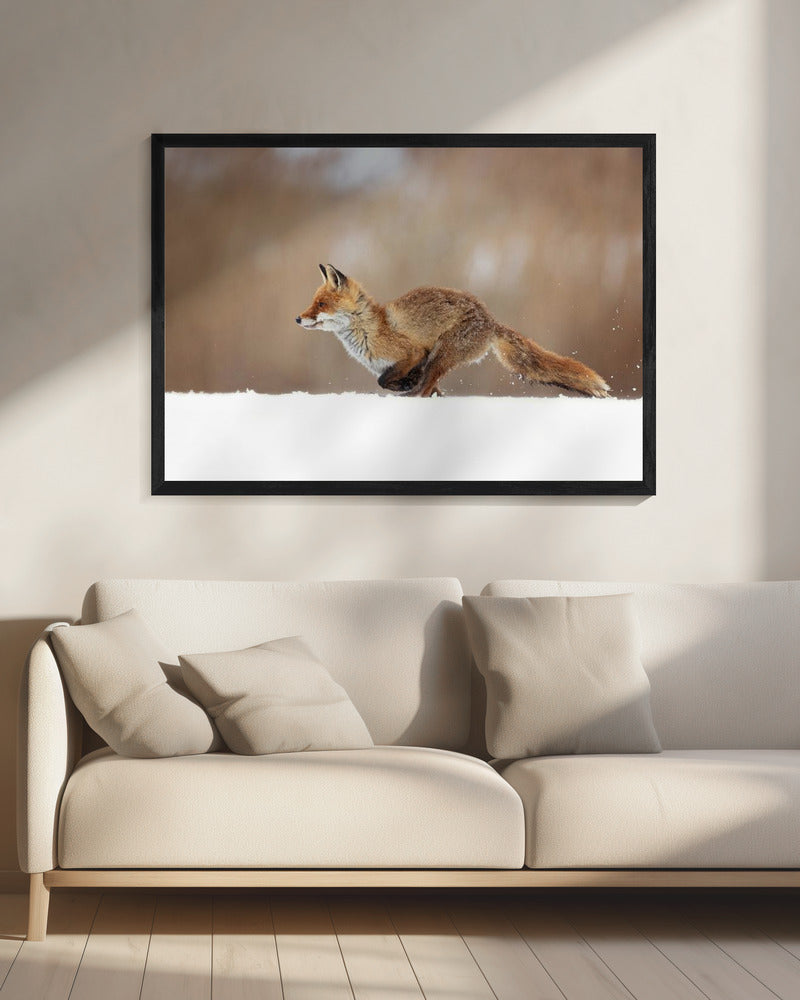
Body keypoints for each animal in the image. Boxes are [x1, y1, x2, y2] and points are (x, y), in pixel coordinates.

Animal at [296, 264, 609, 398]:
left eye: (321, 304)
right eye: (313, 302)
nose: (298, 319)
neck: (368, 329)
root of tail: (490, 319)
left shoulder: (414, 352)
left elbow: (384, 380)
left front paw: (404, 386)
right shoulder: (404, 363)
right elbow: (393, 381)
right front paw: (406, 385)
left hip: (441, 354)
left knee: (425, 387)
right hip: (441, 357)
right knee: (429, 386)